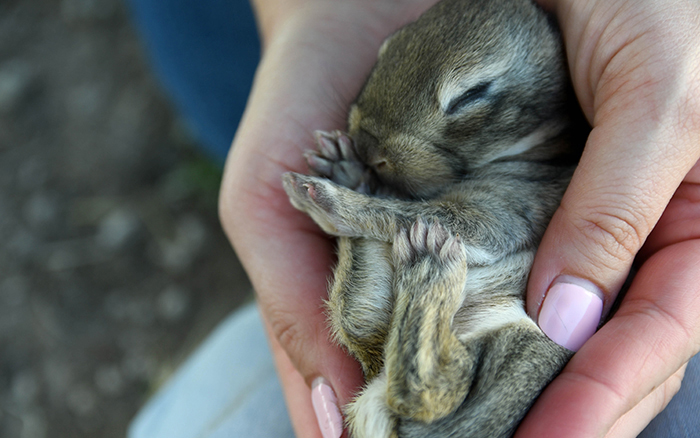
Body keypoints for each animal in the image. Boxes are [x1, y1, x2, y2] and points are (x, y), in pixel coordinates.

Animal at [282, 0, 588, 436]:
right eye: (388, 47)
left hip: (516, 352)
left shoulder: (501, 209)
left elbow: (406, 212)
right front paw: (345, 168)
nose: (366, 146)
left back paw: (425, 265)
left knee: (428, 391)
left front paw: (336, 202)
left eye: (471, 95)